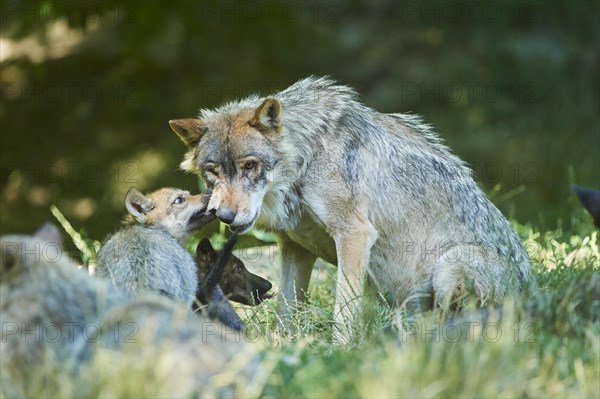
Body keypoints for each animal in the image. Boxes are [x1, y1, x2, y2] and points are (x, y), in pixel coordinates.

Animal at [168, 76, 536, 344]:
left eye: (249, 166)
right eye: (213, 173)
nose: (223, 217)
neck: (307, 159)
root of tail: (535, 296)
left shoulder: (354, 235)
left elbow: (344, 309)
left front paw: (339, 349)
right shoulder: (295, 249)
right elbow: (286, 310)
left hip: (452, 263)